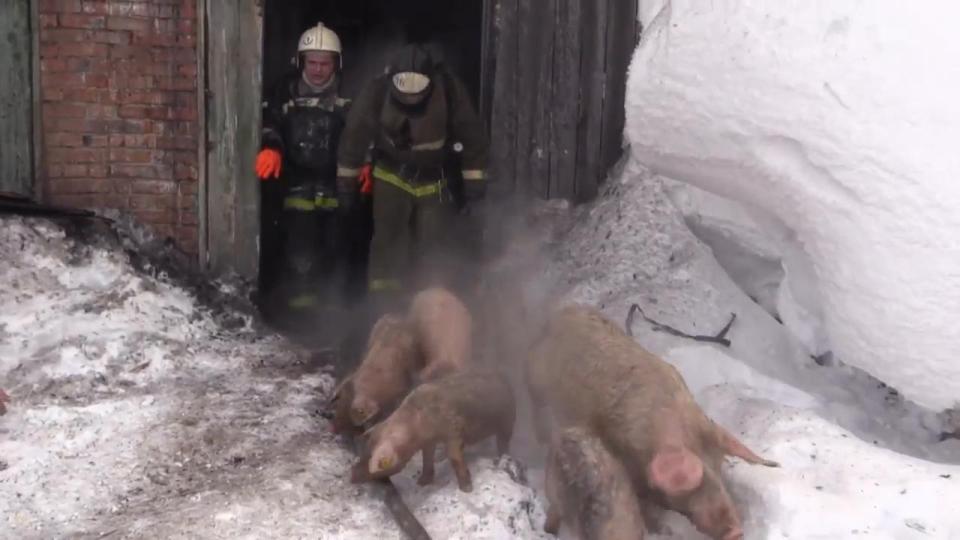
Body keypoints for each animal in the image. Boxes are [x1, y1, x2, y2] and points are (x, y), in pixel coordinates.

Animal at [350, 370, 516, 492]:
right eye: (363, 452)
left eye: (375, 463)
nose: (351, 477)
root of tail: (504, 379)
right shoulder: (428, 442)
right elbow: (427, 458)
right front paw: (421, 483)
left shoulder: (454, 432)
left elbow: (454, 457)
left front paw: (467, 489)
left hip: (508, 419)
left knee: (503, 440)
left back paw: (502, 457)